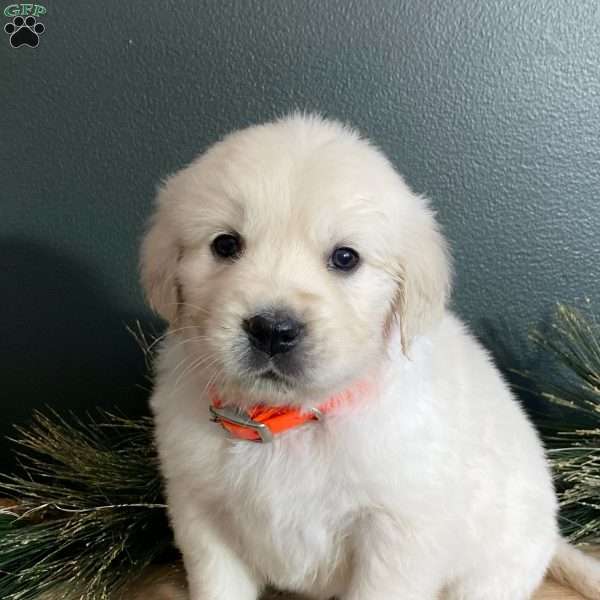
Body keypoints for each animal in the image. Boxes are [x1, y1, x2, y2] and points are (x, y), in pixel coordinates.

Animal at [142, 113, 600, 600]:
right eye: (225, 245)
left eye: (346, 258)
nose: (272, 331)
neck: (294, 419)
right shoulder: (200, 511)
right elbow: (217, 584)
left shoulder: (396, 531)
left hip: (490, 570)